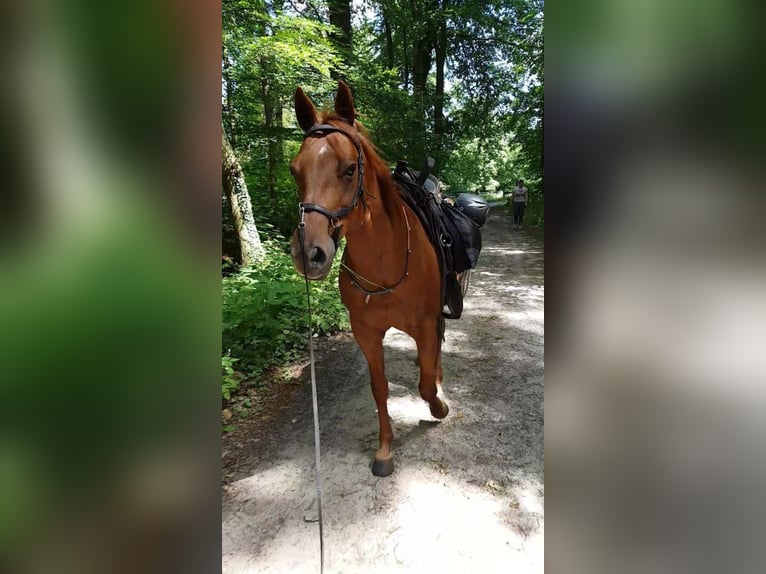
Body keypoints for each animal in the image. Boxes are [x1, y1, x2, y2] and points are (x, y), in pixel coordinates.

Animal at [292, 81, 450, 476]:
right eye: (294, 170)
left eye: (350, 169)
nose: (308, 253)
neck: (384, 265)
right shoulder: (365, 331)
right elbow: (380, 388)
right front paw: (385, 450)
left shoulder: (424, 324)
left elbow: (426, 385)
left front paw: (439, 407)